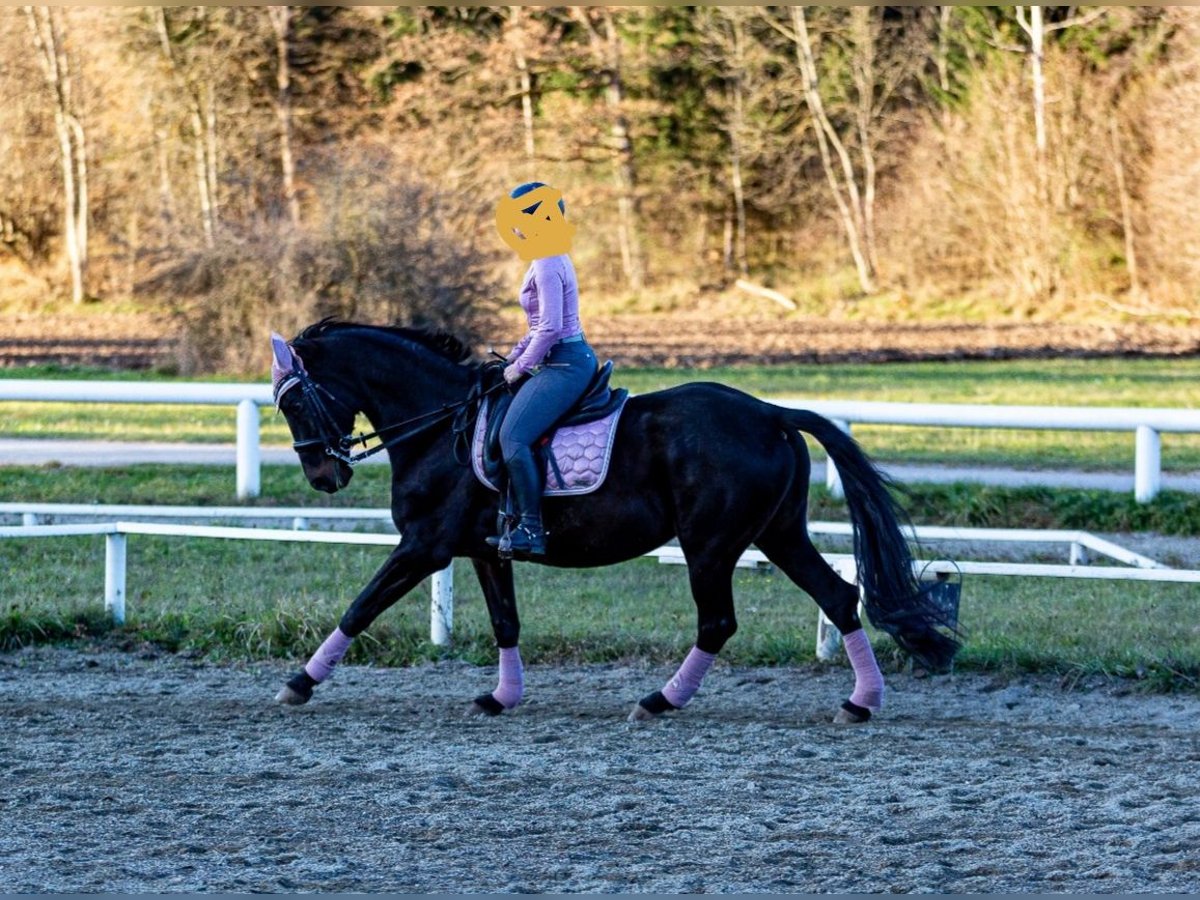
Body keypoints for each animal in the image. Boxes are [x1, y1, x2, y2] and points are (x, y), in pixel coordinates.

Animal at [270, 321, 955, 724]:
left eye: (296, 399)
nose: (324, 477)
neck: (440, 425)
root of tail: (770, 412)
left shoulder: (424, 546)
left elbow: (359, 608)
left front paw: (298, 684)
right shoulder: (485, 550)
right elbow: (505, 622)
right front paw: (502, 697)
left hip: (711, 545)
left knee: (719, 622)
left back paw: (660, 701)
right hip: (778, 534)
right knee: (838, 596)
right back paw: (860, 703)